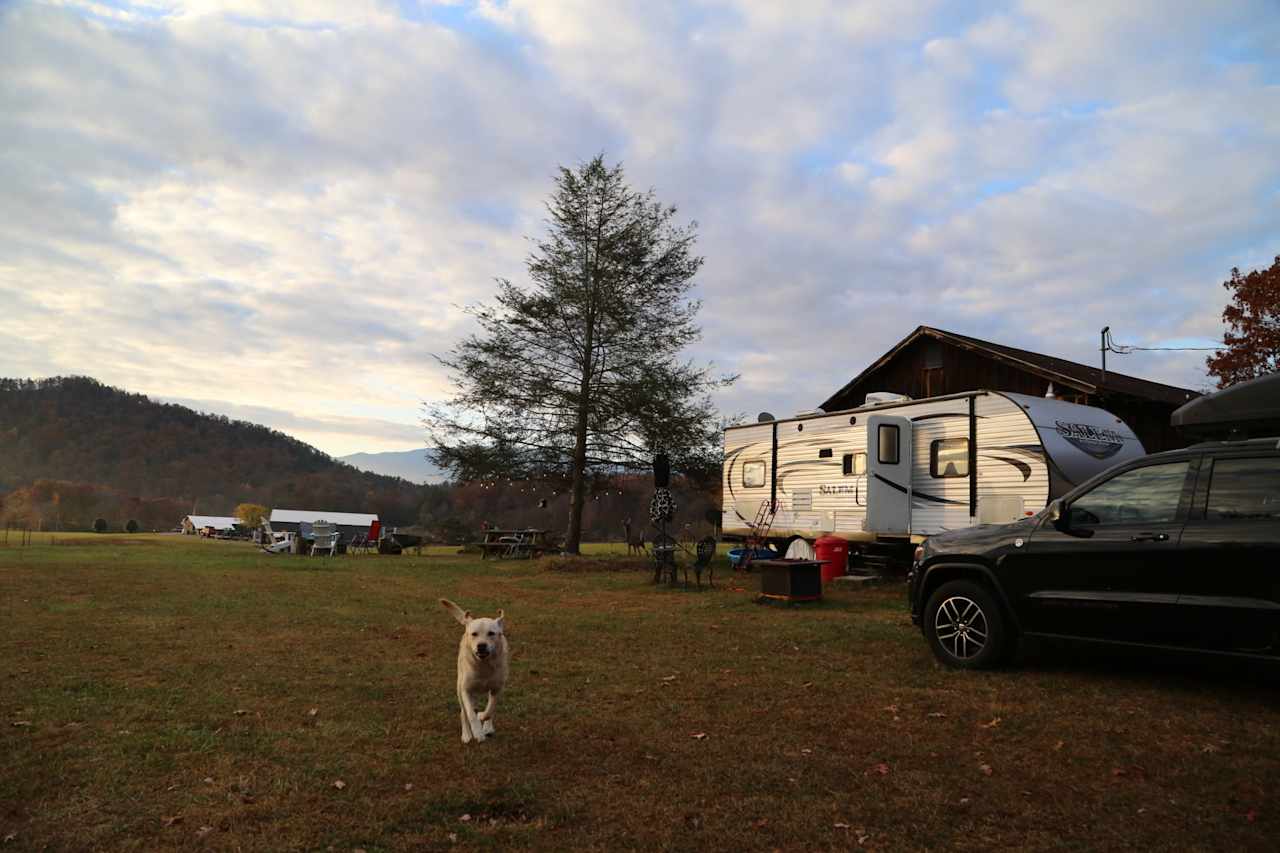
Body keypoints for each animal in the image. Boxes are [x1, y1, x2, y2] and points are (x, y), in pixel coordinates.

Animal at [440, 594, 509, 742]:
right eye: (474, 634)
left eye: (491, 633)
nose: (481, 645)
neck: (484, 665)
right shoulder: (465, 689)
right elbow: (470, 714)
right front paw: (477, 732)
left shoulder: (497, 688)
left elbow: (490, 709)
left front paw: (483, 719)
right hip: (459, 687)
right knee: (463, 712)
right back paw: (466, 734)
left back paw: (488, 727)